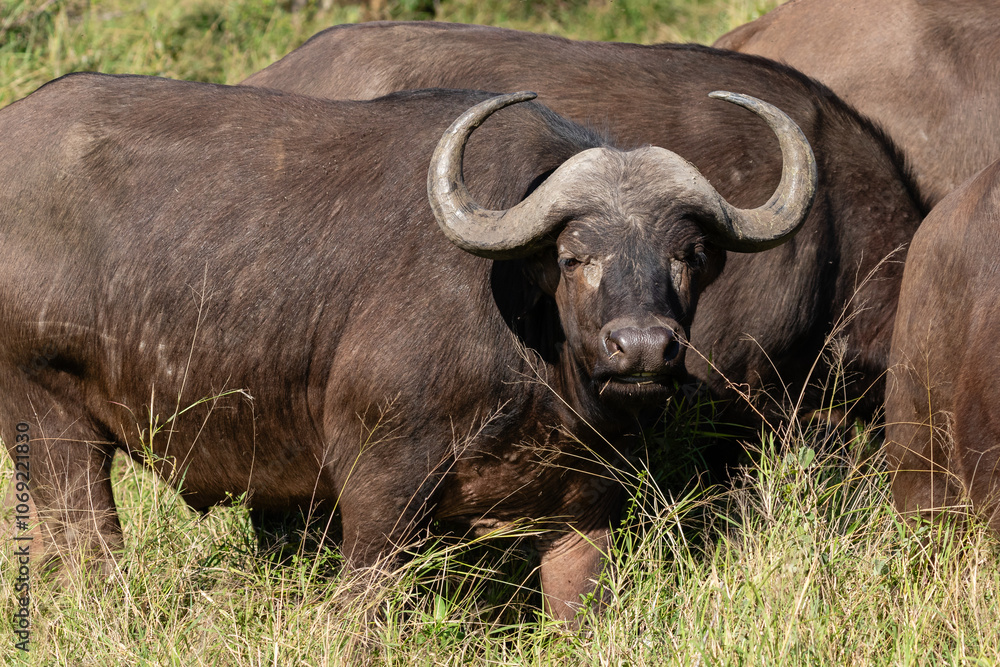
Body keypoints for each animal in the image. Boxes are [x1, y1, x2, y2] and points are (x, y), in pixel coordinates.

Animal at [0, 73, 815, 619]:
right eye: (574, 255)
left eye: (689, 254)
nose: (642, 348)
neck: (534, 357)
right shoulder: (379, 483)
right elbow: (363, 604)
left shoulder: (587, 504)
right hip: (53, 422)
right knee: (87, 548)